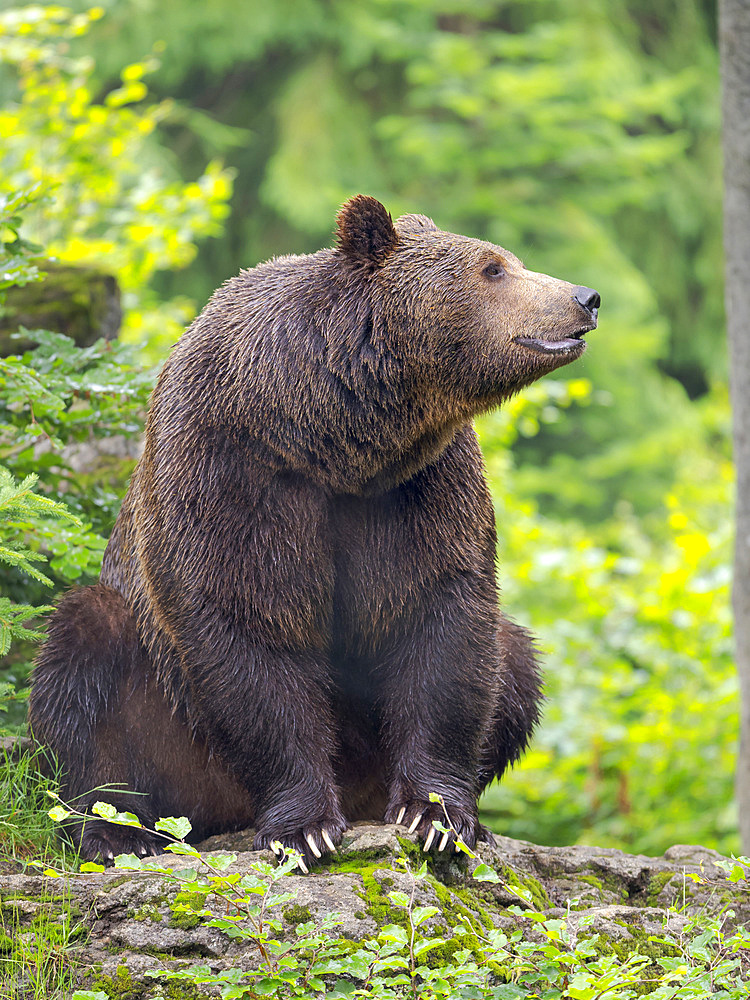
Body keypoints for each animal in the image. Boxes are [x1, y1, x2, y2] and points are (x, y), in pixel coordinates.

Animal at [29, 197, 604, 868]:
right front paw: (303, 828)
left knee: (514, 663)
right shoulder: (231, 469)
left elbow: (442, 625)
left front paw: (436, 815)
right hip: (168, 717)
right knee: (82, 663)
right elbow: (249, 623)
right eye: (492, 268)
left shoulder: (419, 485)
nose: (585, 297)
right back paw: (118, 830)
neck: (326, 432)